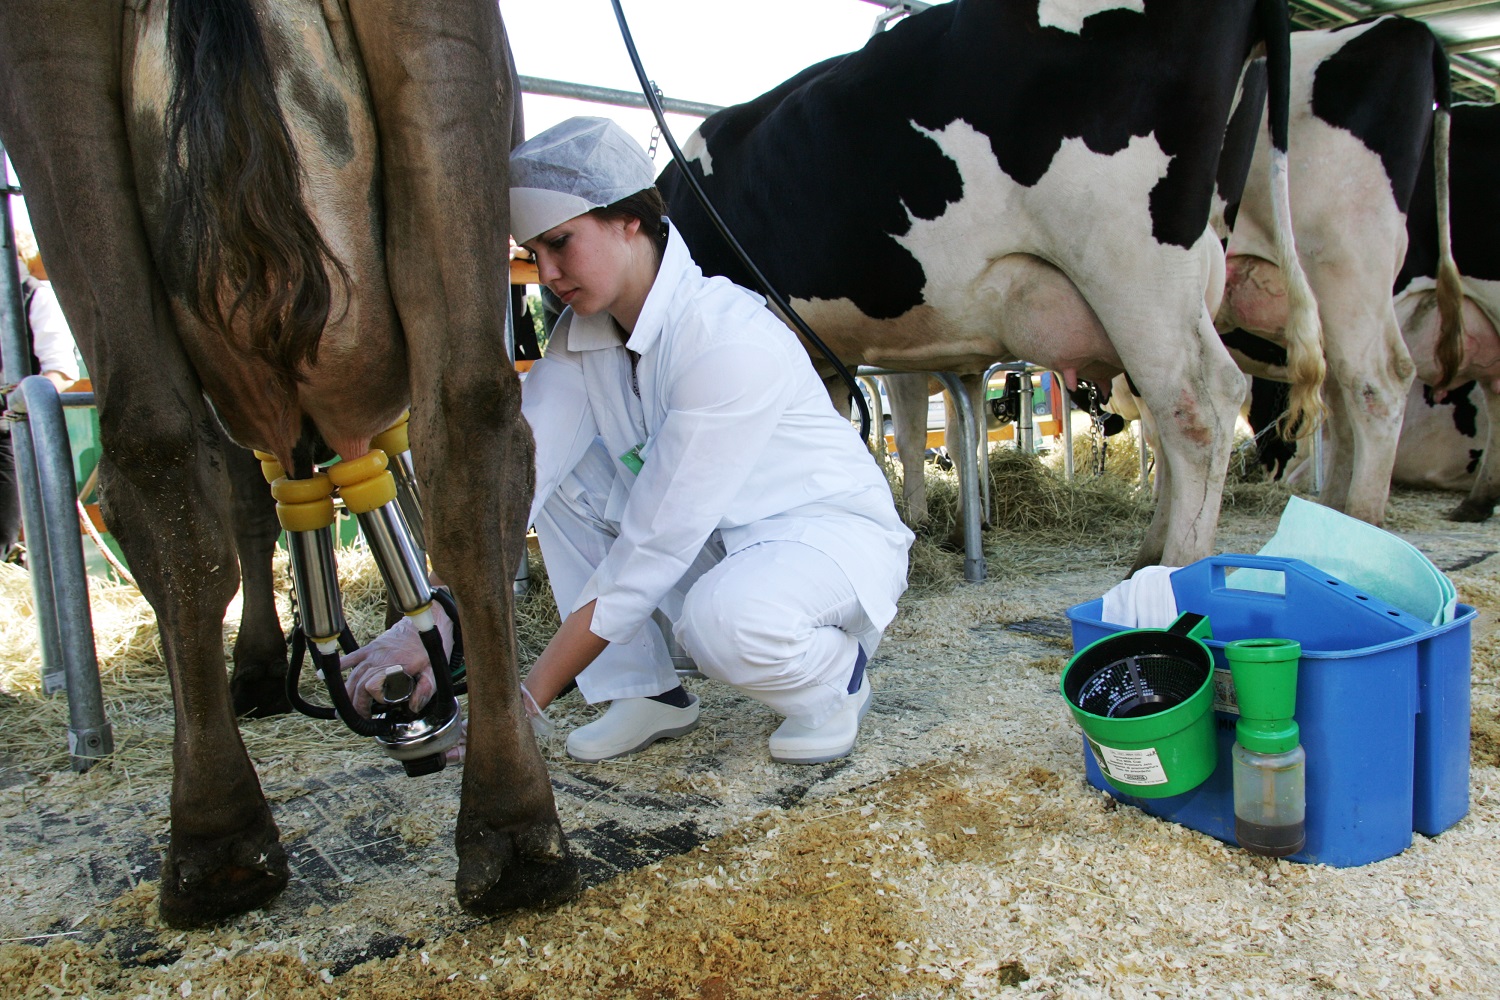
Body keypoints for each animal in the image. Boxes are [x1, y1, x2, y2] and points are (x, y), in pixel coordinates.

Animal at [657, 0, 1314, 569]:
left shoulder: (884, 352)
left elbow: (912, 430)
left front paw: (918, 520)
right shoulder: (853, 355)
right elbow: (939, 424)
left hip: (1129, 258)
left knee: (1200, 404)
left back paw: (1172, 572)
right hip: (1195, 263)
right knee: (1170, 411)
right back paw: (1149, 553)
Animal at [1212, 17, 1458, 524]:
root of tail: (1410, 27)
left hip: (1346, 263)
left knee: (1380, 382)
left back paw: (1362, 517)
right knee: (1345, 397)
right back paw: (1333, 510)